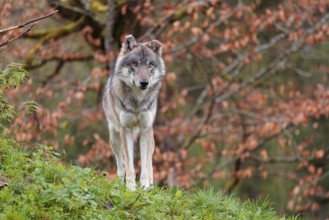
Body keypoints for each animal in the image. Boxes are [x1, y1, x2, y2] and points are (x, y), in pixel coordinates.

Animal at [102, 34, 165, 191]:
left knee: (149, 163)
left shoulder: (145, 129)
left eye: (150, 65)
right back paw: (119, 182)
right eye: (135, 64)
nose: (144, 83)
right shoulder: (126, 129)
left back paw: (151, 184)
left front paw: (145, 187)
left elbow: (145, 166)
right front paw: (130, 188)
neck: (138, 101)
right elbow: (129, 165)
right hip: (114, 138)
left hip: (151, 138)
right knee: (121, 164)